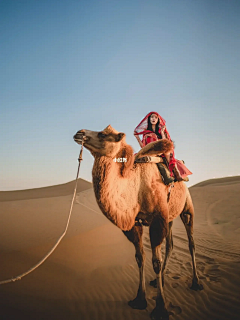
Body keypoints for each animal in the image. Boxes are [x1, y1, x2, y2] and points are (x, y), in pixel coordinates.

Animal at [73, 125, 202, 320]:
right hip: (170, 216)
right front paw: (139, 299)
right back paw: (158, 281)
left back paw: (196, 283)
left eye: (102, 134)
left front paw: (160, 308)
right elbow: (140, 257)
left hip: (187, 208)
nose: (79, 133)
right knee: (171, 244)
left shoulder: (157, 220)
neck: (136, 187)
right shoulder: (135, 223)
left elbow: (156, 261)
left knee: (191, 243)